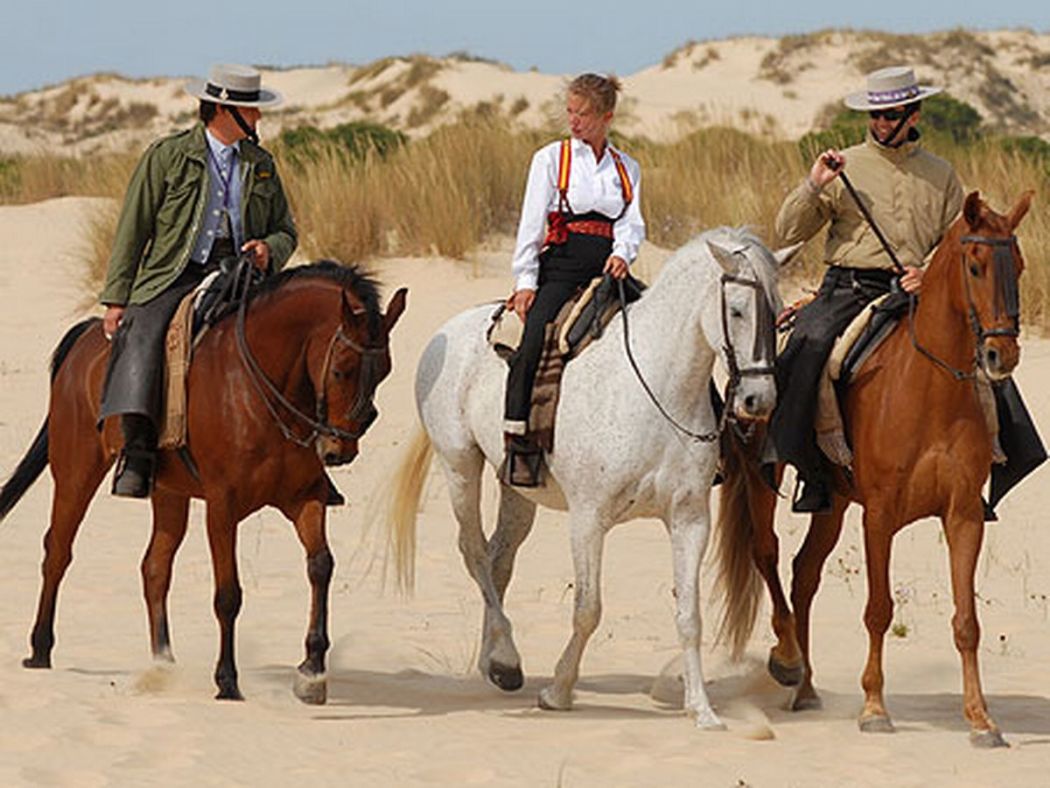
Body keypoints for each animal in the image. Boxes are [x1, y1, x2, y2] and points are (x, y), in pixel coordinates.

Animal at [0, 261, 407, 702]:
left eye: (384, 372)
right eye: (340, 370)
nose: (338, 450)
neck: (259, 388)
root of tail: (89, 333)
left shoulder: (305, 498)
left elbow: (321, 566)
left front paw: (312, 671)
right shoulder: (222, 505)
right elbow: (228, 595)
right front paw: (227, 680)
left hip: (168, 492)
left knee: (154, 567)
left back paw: (163, 663)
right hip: (77, 471)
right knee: (58, 550)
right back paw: (40, 649)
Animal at [387, 227, 797, 729]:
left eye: (777, 310)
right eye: (737, 310)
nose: (760, 400)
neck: (658, 387)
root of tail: (447, 330)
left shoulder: (689, 520)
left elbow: (689, 616)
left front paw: (701, 709)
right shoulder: (588, 519)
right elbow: (588, 609)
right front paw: (559, 691)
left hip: (515, 485)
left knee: (499, 559)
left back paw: (495, 663)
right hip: (460, 467)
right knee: (474, 553)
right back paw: (506, 657)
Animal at [716, 191, 1033, 746]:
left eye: (1016, 265)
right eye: (975, 265)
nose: (1002, 354)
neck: (930, 386)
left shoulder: (964, 516)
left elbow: (967, 621)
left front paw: (981, 719)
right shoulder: (880, 515)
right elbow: (879, 610)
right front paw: (874, 708)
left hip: (833, 500)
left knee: (804, 574)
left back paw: (806, 688)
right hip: (761, 476)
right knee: (767, 554)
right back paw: (787, 661)